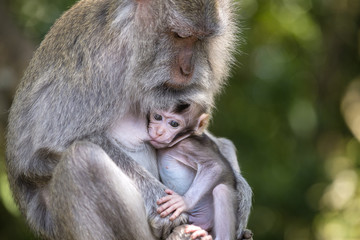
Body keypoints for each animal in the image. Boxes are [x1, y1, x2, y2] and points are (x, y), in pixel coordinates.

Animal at [148, 102, 239, 239]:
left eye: (174, 124)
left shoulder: (188, 145)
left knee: (221, 190)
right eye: (158, 117)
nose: (159, 132)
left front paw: (183, 202)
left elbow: (214, 166)